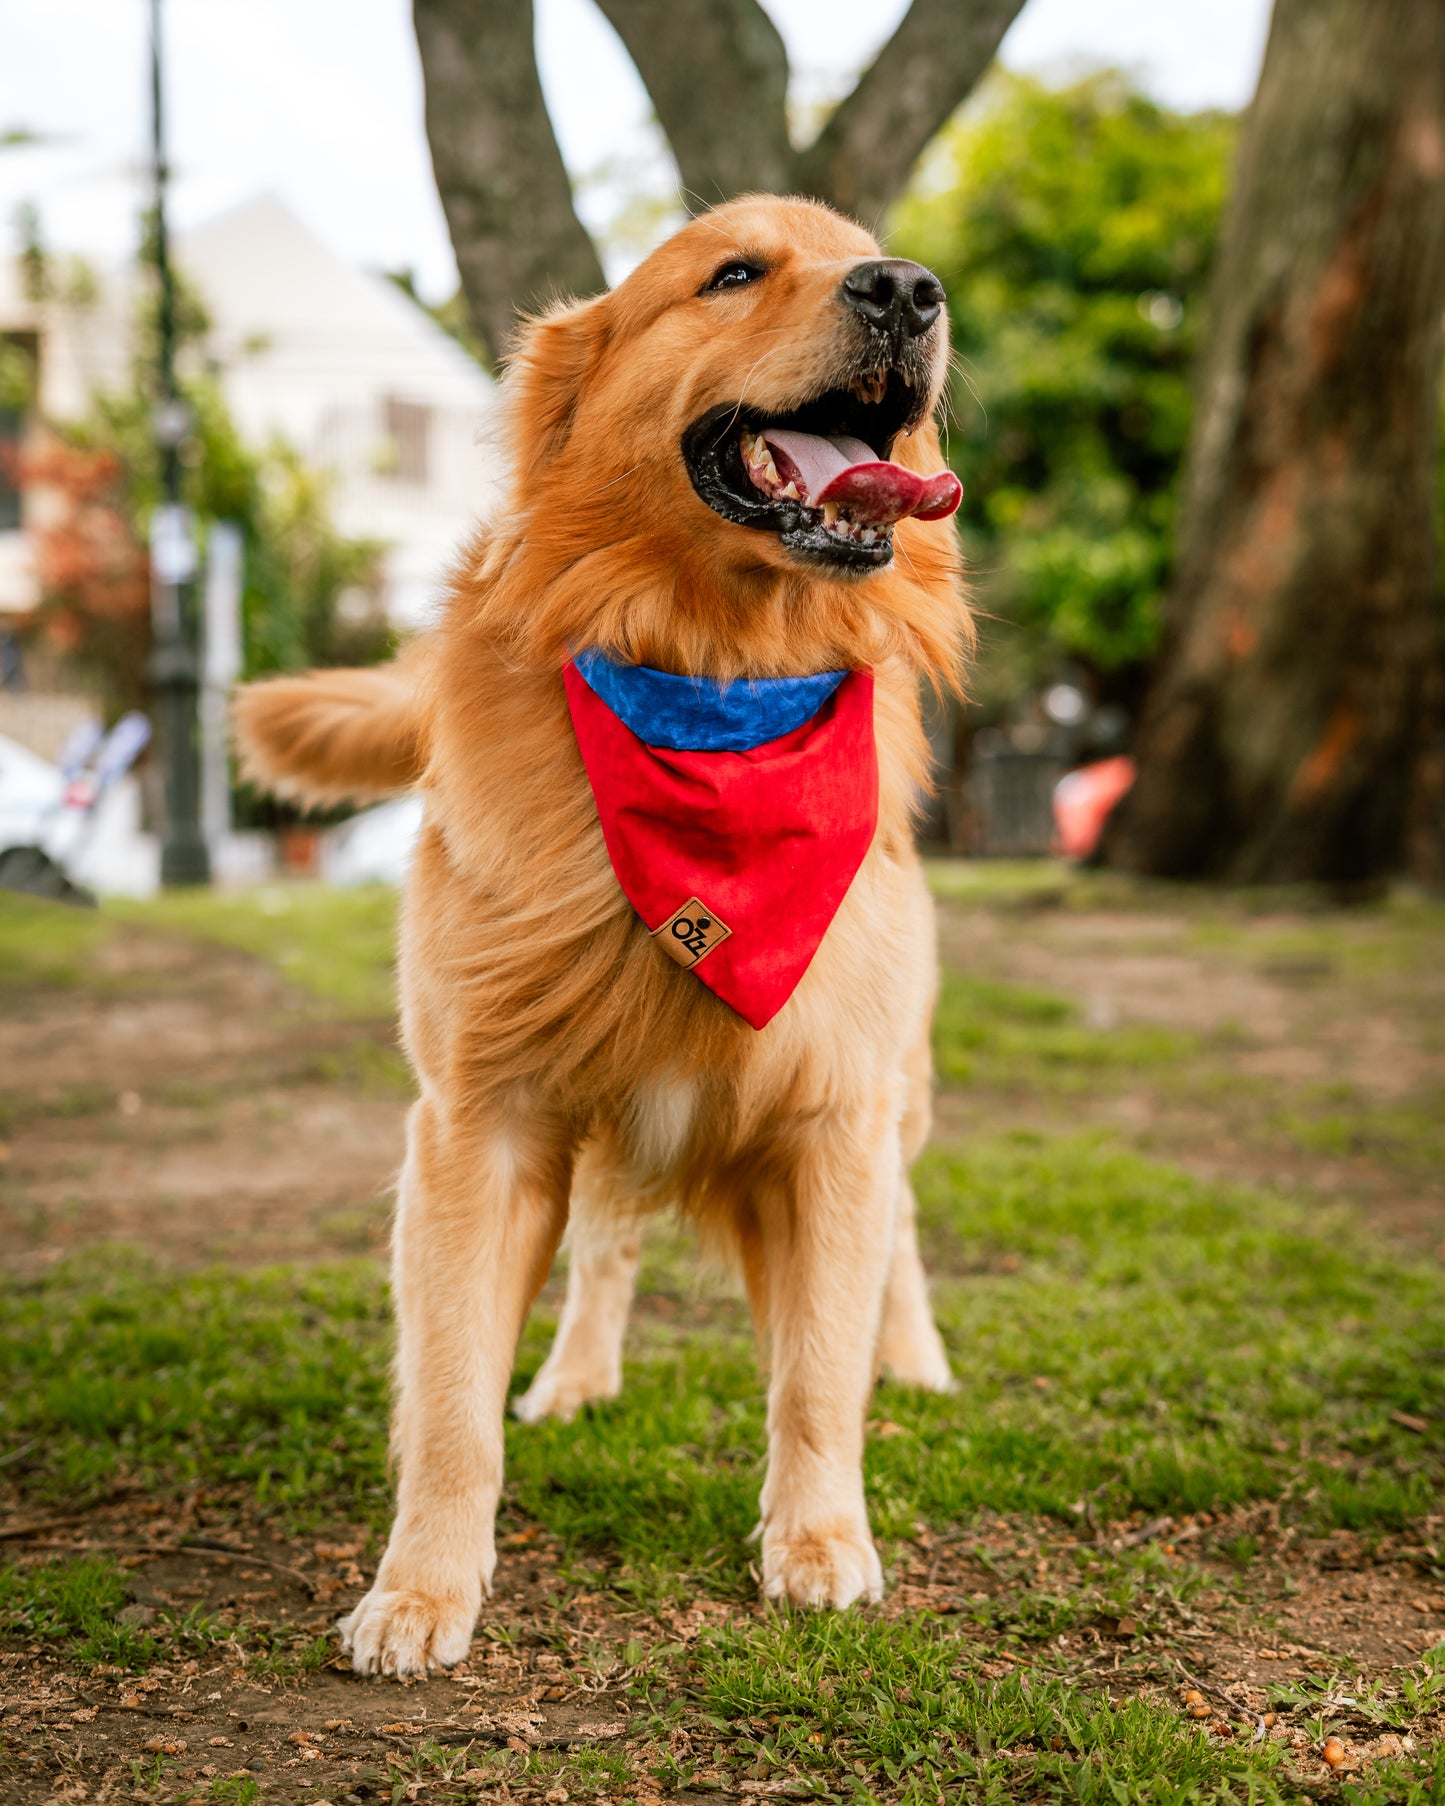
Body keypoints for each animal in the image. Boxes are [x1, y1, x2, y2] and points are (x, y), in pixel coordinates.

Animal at [234, 194, 968, 1675]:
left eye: (872, 249)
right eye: (732, 272)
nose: (910, 291)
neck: (717, 676)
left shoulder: (836, 1110)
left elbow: (816, 1369)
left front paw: (819, 1541)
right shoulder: (481, 1115)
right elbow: (449, 1394)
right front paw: (422, 1588)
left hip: (901, 1085)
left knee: (903, 1234)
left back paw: (912, 1358)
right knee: (610, 1247)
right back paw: (577, 1378)